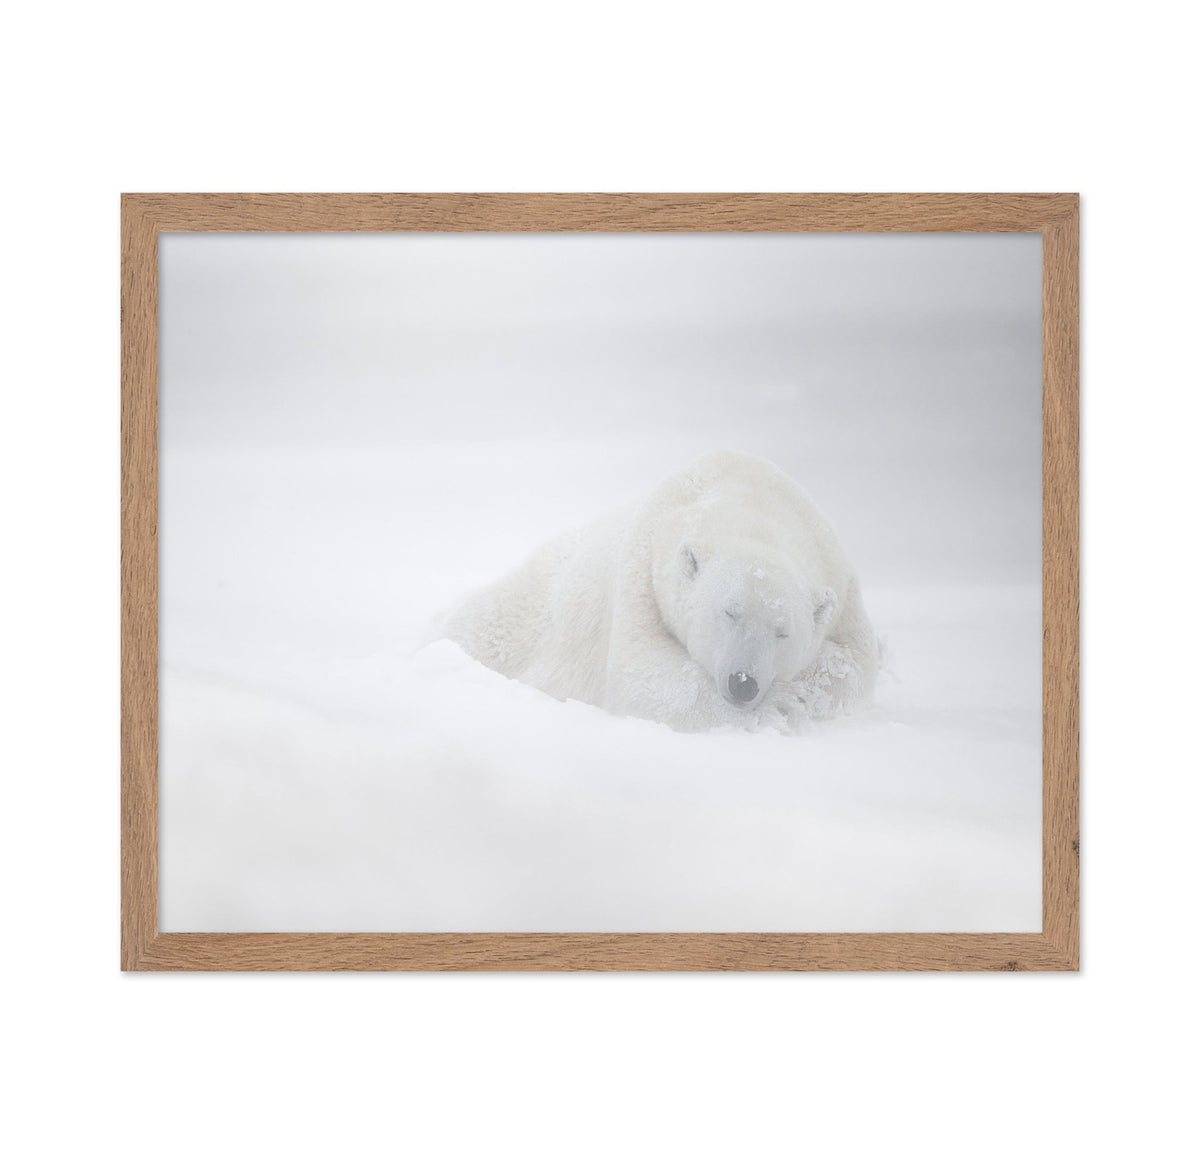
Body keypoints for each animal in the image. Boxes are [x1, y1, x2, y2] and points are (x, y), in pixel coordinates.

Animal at [441, 450, 880, 734]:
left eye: (782, 631)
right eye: (729, 612)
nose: (743, 682)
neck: (753, 501)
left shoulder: (841, 581)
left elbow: (856, 663)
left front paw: (804, 693)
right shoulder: (644, 571)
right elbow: (641, 673)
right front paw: (782, 702)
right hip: (524, 613)